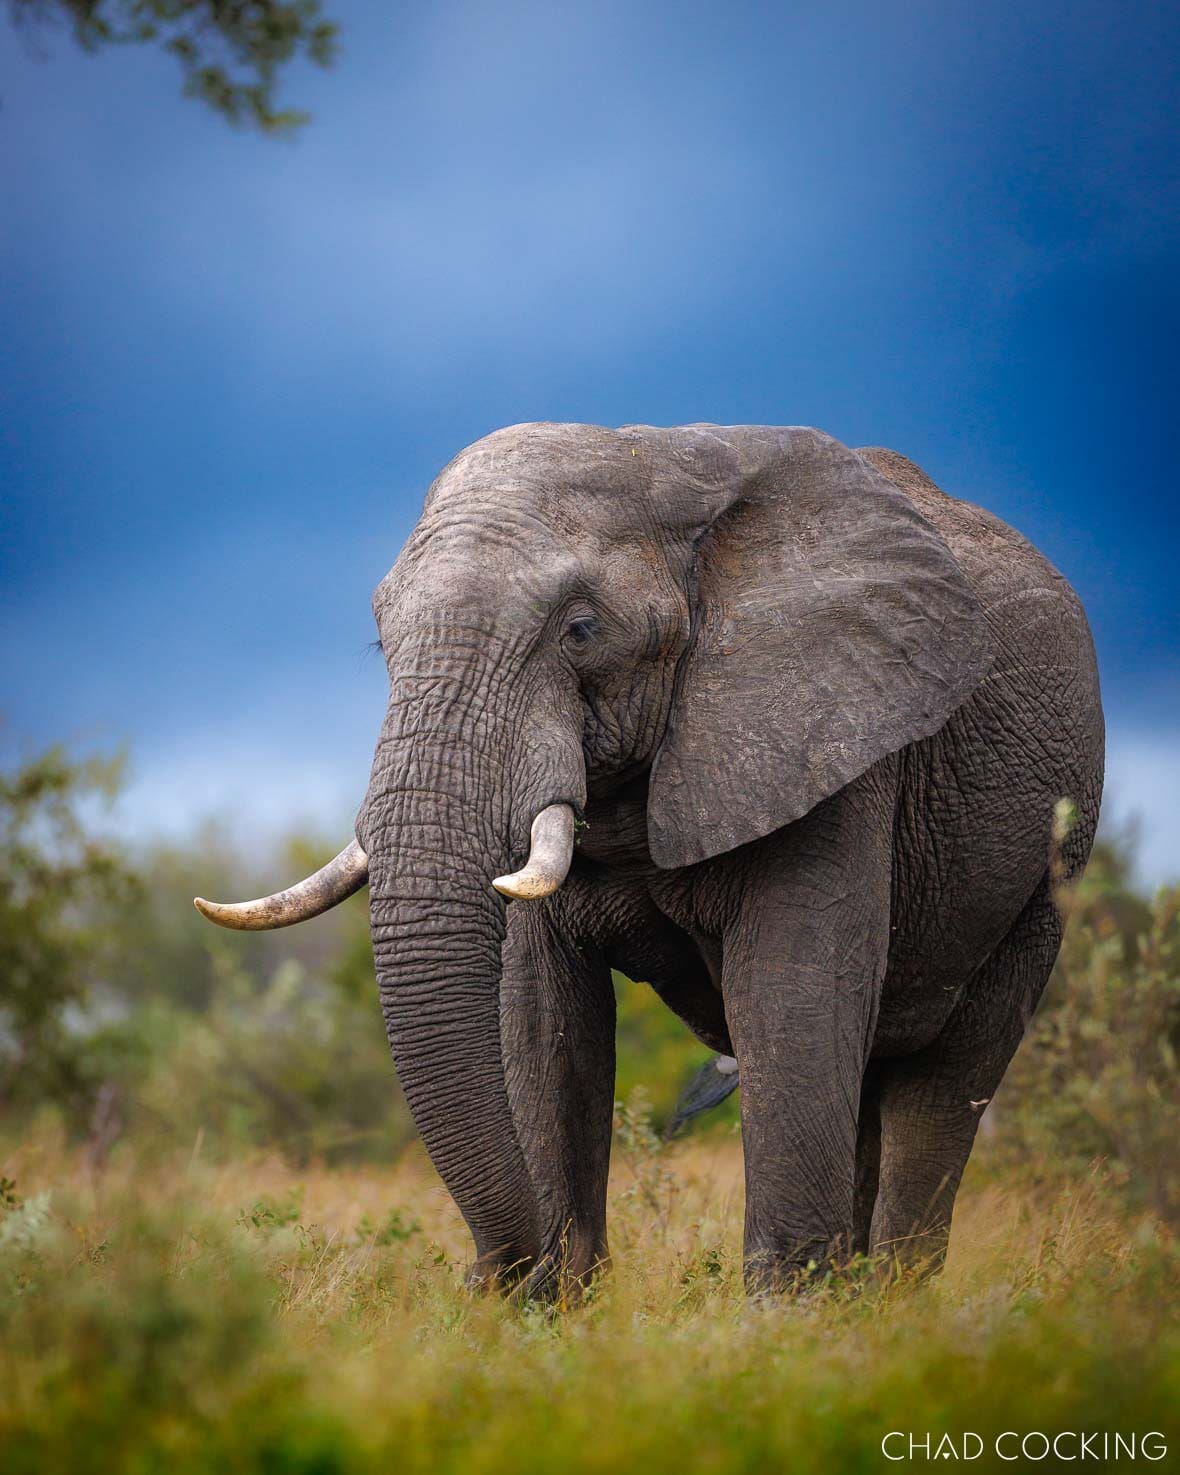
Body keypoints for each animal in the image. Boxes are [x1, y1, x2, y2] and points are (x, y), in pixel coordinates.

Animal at [195, 423, 1104, 1295]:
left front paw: (785, 1325)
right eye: (383, 641)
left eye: (581, 630)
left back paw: (893, 1305)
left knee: (940, 1085)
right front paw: (545, 1315)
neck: (662, 461)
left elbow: (793, 994)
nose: (488, 1273)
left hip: (1045, 877)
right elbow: (543, 1018)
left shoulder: (838, 744)